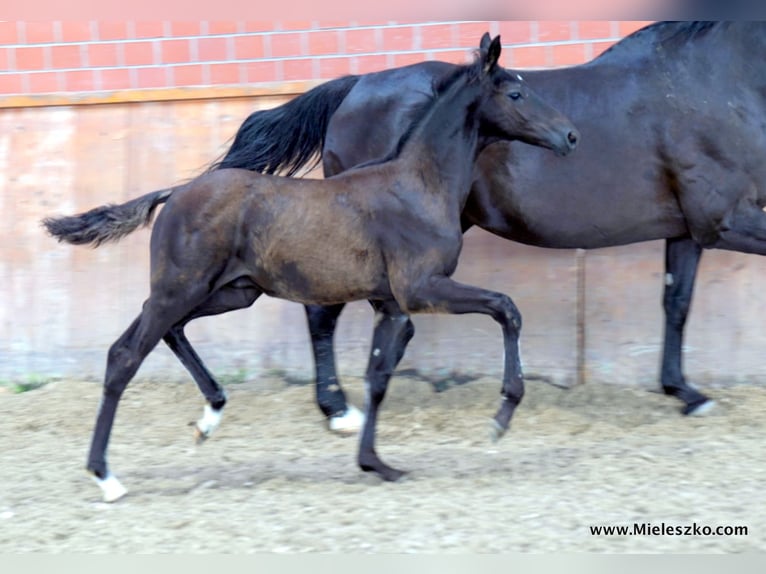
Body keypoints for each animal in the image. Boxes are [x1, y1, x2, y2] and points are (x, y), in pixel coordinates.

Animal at [42, 37, 580, 504]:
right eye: (515, 92)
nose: (571, 135)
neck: (418, 184)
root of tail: (173, 194)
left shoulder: (390, 303)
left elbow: (378, 375)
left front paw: (376, 463)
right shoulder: (421, 289)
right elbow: (506, 308)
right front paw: (502, 415)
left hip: (230, 291)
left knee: (168, 333)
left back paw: (210, 415)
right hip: (182, 288)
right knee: (125, 354)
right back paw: (107, 477)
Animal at [212, 21, 766, 432]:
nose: (570, 136)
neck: (718, 80)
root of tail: (355, 87)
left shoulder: (691, 230)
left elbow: (677, 304)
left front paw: (685, 392)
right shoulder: (726, 220)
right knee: (322, 314)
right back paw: (339, 410)